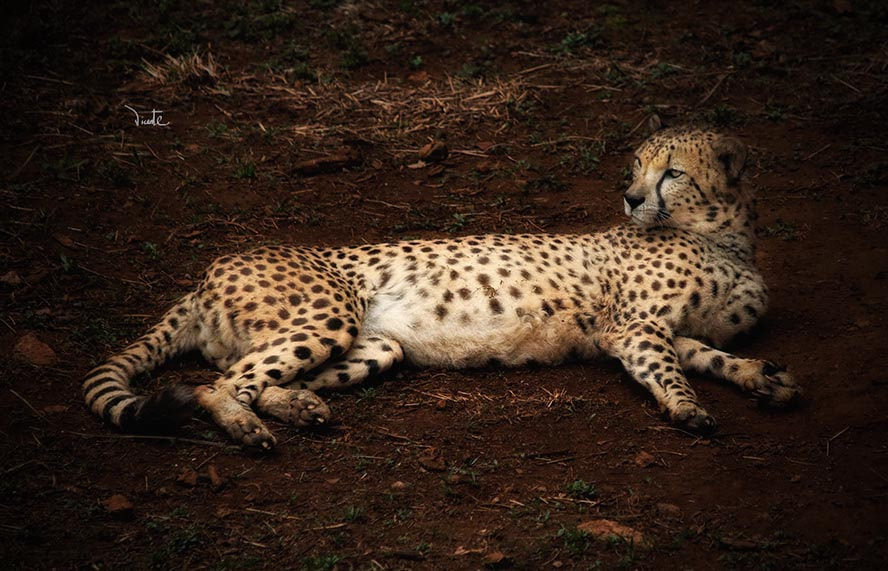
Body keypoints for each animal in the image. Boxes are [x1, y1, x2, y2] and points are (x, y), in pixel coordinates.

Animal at [82, 127, 802, 449]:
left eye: (672, 171)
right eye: (636, 168)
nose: (629, 198)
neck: (725, 234)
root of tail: (210, 271)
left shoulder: (665, 328)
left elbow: (712, 355)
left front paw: (762, 377)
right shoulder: (633, 326)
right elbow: (670, 369)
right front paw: (686, 408)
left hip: (378, 347)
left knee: (250, 376)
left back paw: (299, 408)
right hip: (329, 312)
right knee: (217, 383)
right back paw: (247, 427)